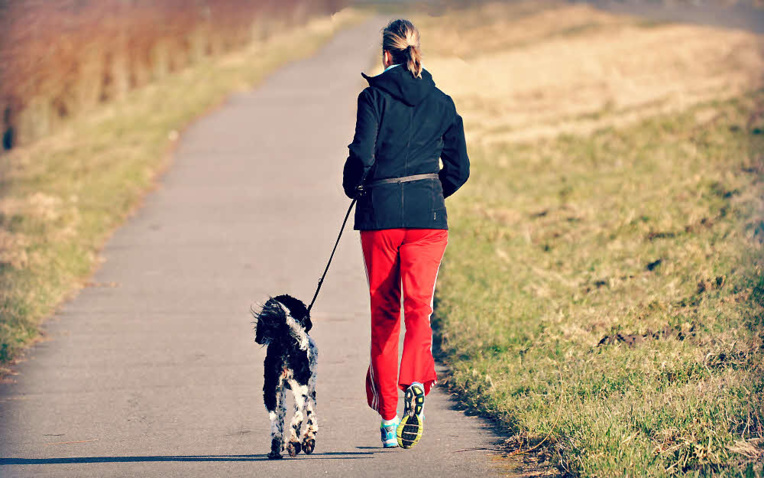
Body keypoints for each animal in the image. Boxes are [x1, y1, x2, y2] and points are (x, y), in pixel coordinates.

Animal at [252, 296, 318, 460]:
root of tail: (286, 341)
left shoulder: (280, 392)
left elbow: (281, 417)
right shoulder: (311, 388)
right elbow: (311, 416)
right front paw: (308, 441)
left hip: (270, 390)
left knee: (275, 422)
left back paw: (275, 449)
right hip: (301, 389)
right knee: (298, 417)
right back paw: (294, 444)